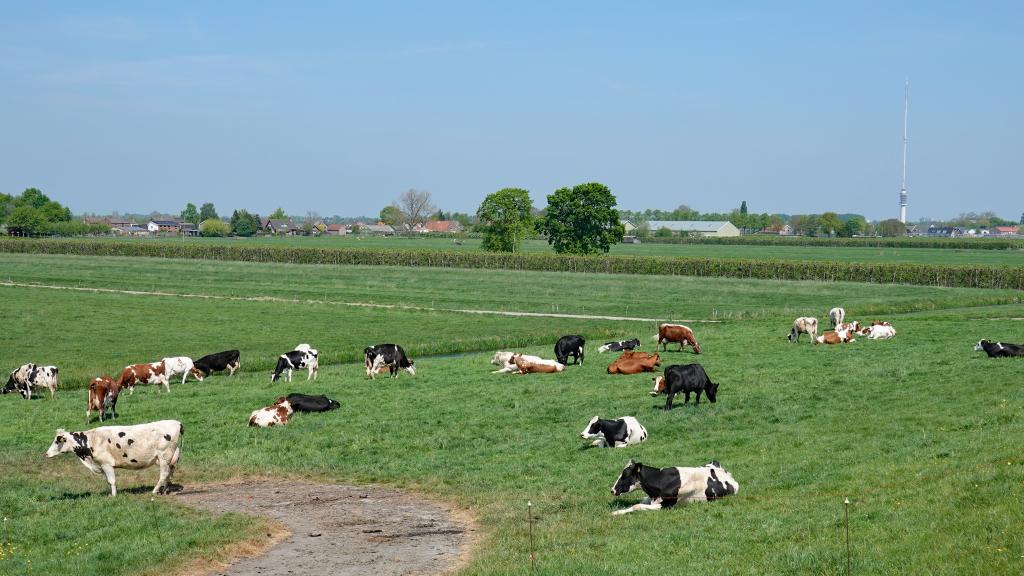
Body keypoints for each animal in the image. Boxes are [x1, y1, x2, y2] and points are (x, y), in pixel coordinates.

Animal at [44, 416, 184, 494]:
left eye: (57, 441)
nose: (46, 453)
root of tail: (177, 423)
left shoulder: (106, 463)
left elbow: (111, 481)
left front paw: (114, 496)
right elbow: (108, 480)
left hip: (164, 456)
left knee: (164, 474)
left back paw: (155, 491)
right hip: (170, 458)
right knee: (169, 473)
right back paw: (165, 490)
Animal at [606, 457, 737, 516]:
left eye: (625, 475)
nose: (612, 490)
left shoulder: (667, 505)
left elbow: (637, 506)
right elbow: (634, 505)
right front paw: (617, 512)